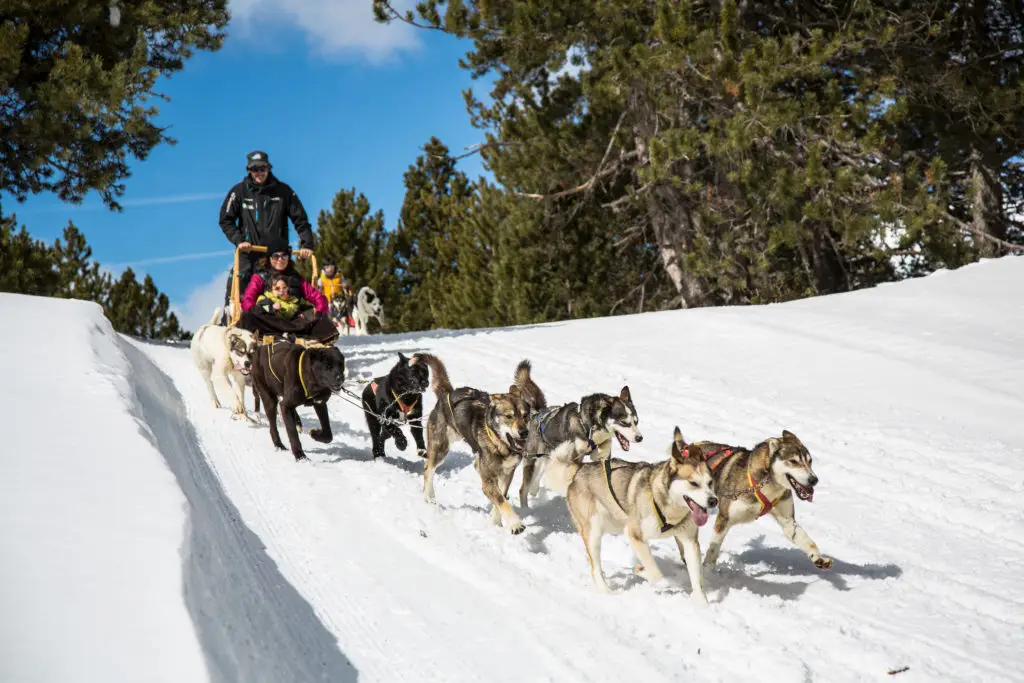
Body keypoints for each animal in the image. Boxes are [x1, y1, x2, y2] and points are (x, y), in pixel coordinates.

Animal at [415, 356, 544, 536]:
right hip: (440, 448)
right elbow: (501, 501)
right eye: (509, 416)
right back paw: (430, 497)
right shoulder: (488, 480)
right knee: (428, 469)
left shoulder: (507, 474)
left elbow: (500, 499)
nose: (524, 432)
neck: (500, 444)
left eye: (525, 416)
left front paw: (495, 522)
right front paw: (515, 523)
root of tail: (447, 393)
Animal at [692, 432, 827, 573]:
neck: (767, 482)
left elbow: (805, 539)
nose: (814, 480)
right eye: (793, 461)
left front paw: (818, 557)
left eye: (810, 461)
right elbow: (714, 548)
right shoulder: (724, 518)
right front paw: (707, 570)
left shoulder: (788, 521)